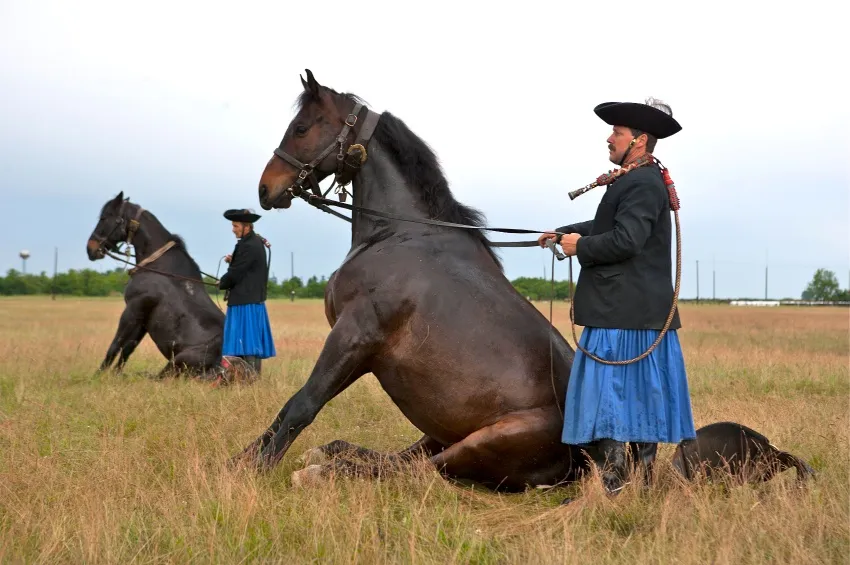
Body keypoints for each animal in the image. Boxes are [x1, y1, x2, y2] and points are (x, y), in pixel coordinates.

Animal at [86, 192, 229, 382]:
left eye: (104, 218)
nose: (90, 249)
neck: (159, 267)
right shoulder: (143, 318)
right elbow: (128, 348)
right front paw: (117, 375)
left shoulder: (132, 310)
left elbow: (115, 346)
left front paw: (97, 376)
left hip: (176, 362)